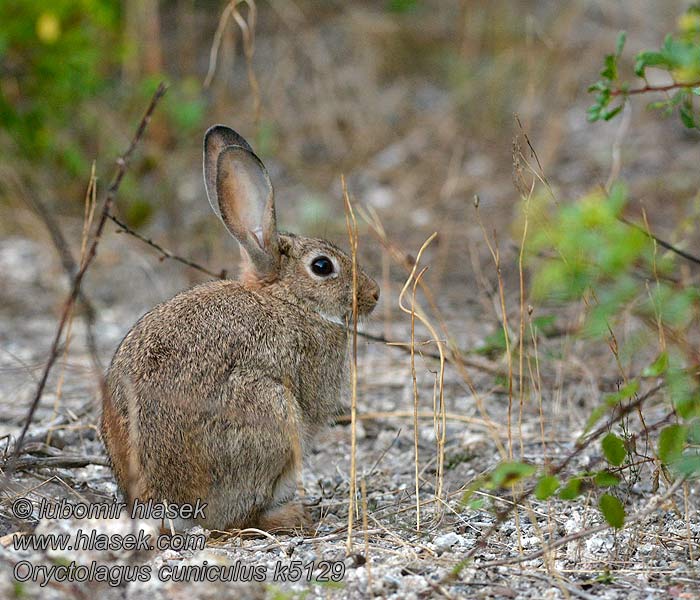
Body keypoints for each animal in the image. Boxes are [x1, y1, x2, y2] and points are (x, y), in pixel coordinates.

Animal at [100, 125, 378, 528]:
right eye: (322, 266)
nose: (374, 295)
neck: (288, 298)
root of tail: (164, 502)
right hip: (268, 409)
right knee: (237, 518)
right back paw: (291, 514)